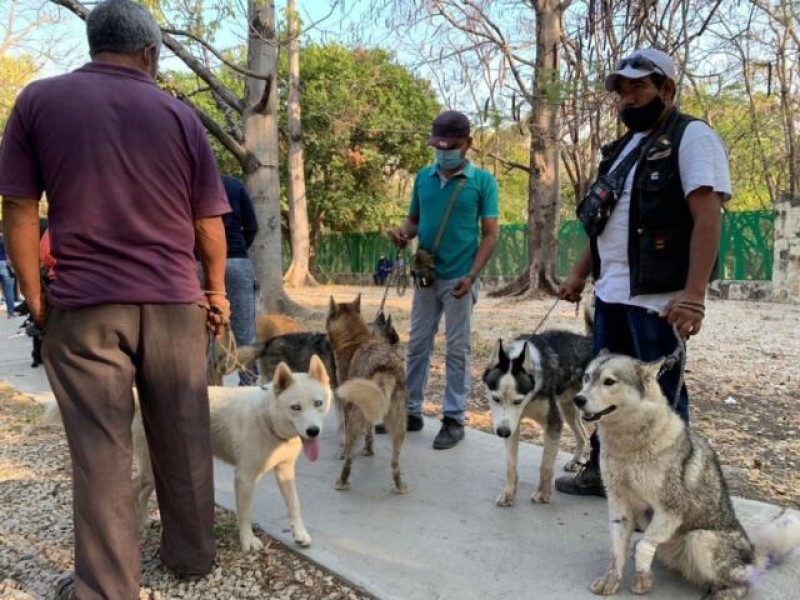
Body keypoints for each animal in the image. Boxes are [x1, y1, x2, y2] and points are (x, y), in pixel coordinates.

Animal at [326, 292, 410, 494]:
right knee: (395, 464)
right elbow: (370, 432)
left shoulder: (347, 406)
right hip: (399, 423)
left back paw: (342, 481)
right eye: (394, 339)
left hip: (355, 415)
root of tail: (385, 368)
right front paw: (369, 450)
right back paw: (399, 485)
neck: (355, 339)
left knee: (349, 458)